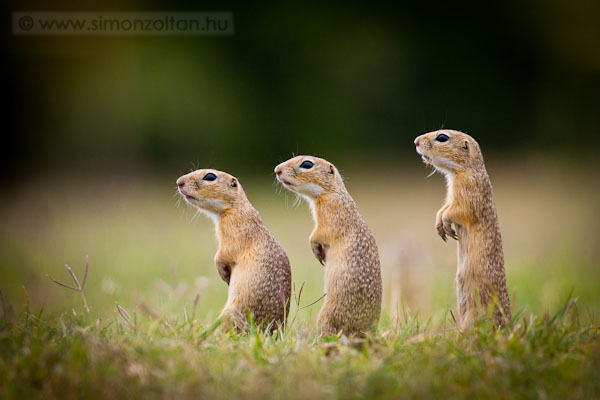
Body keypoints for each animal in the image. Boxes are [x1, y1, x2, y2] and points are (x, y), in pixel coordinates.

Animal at [177, 169, 292, 332]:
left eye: (210, 176)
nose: (179, 182)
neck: (234, 206)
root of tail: (274, 331)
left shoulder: (232, 231)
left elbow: (223, 253)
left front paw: (223, 272)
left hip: (230, 313)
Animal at [274, 155, 382, 336]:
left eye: (307, 164)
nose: (277, 170)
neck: (330, 192)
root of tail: (368, 329)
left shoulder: (329, 216)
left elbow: (317, 234)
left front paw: (316, 251)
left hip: (326, 314)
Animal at [418, 131, 510, 328]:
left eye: (442, 137)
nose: (416, 141)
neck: (461, 171)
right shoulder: (450, 196)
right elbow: (444, 207)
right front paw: (439, 223)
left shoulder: (467, 191)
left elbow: (458, 210)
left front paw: (445, 222)